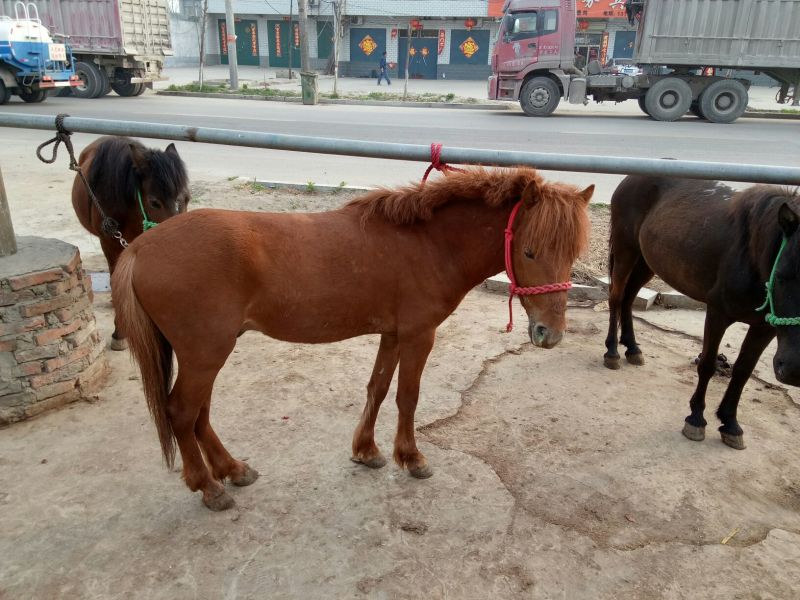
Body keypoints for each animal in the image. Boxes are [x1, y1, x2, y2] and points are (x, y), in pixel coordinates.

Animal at [111, 167, 594, 510]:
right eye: (529, 250)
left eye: (572, 253)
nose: (549, 334)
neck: (429, 243)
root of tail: (139, 248)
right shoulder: (419, 335)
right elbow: (407, 396)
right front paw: (411, 458)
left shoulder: (393, 334)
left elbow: (377, 389)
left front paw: (366, 451)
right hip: (205, 353)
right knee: (181, 412)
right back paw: (209, 488)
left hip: (206, 354)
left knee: (199, 414)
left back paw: (233, 469)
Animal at [603, 175, 800, 450]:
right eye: (780, 275)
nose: (794, 370)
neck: (752, 252)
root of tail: (629, 179)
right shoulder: (717, 313)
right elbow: (707, 364)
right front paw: (696, 419)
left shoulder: (764, 328)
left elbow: (743, 372)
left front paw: (730, 423)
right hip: (626, 250)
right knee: (617, 297)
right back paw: (611, 352)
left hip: (647, 260)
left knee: (629, 298)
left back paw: (632, 349)